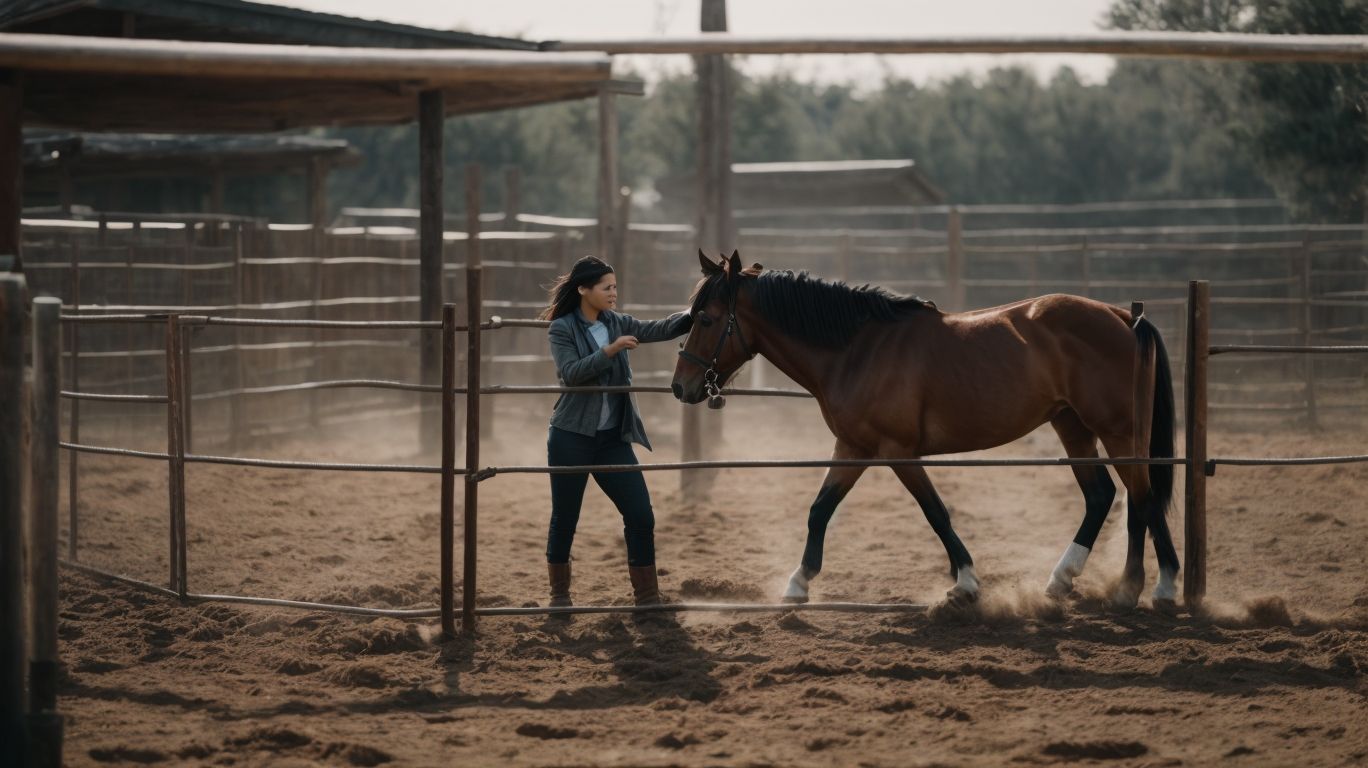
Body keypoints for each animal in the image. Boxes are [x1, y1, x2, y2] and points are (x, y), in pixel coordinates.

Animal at [671, 250, 1179, 610]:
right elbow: (820, 509)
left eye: (706, 318)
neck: (856, 349)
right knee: (1104, 496)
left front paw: (966, 584)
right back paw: (1066, 580)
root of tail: (1122, 316)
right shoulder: (852, 447)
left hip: (1117, 431)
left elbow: (936, 513)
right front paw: (798, 583)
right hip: (1072, 426)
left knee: (1142, 497)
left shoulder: (897, 451)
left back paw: (1145, 588)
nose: (681, 386)